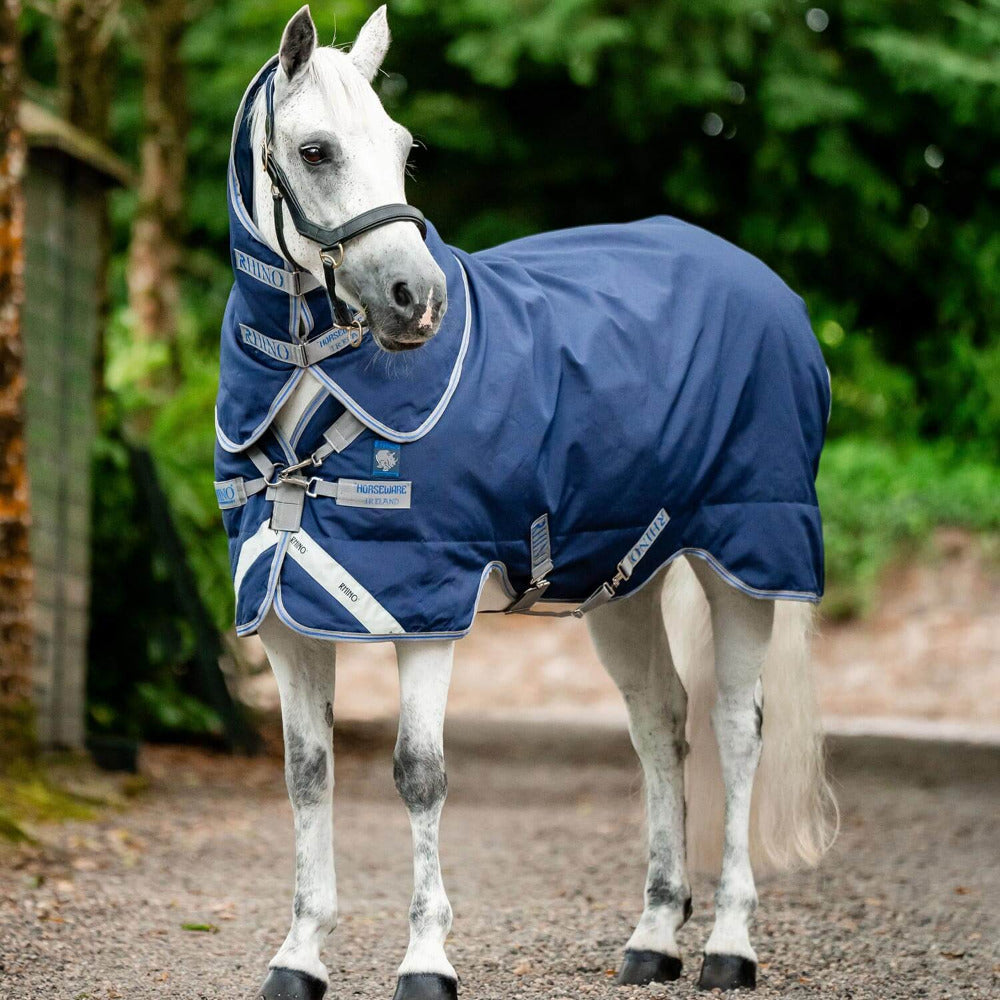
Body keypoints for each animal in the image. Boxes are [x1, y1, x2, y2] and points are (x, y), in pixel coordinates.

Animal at [214, 7, 837, 999]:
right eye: (314, 150)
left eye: (402, 148)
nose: (415, 300)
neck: (317, 387)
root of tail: (770, 290)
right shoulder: (282, 614)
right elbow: (307, 775)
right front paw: (299, 956)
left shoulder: (423, 607)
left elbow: (418, 773)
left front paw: (426, 960)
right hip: (626, 583)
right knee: (660, 726)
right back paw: (653, 937)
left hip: (747, 561)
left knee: (738, 733)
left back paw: (730, 946)